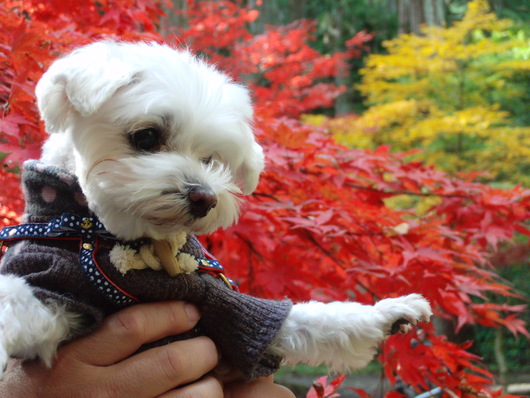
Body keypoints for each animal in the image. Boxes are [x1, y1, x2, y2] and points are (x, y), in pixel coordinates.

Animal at [0, 40, 428, 380]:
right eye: (147, 137)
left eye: (210, 160)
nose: (204, 197)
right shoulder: (55, 282)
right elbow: (15, 300)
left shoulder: (228, 306)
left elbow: (313, 322)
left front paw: (389, 313)